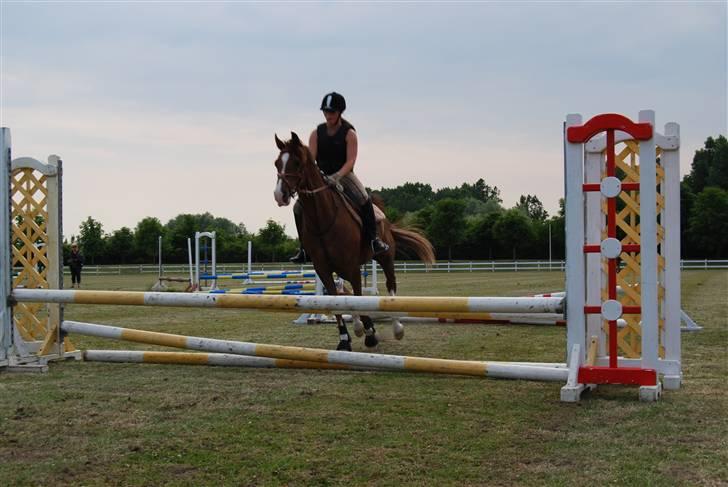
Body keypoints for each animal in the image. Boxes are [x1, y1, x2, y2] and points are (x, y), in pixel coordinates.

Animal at [272, 132, 432, 350]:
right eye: (277, 163)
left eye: (296, 163)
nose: (279, 195)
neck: (323, 218)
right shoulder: (323, 268)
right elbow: (336, 300)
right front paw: (345, 339)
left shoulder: (352, 267)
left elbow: (357, 297)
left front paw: (370, 334)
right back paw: (359, 326)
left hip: (385, 258)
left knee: (390, 285)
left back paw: (397, 327)